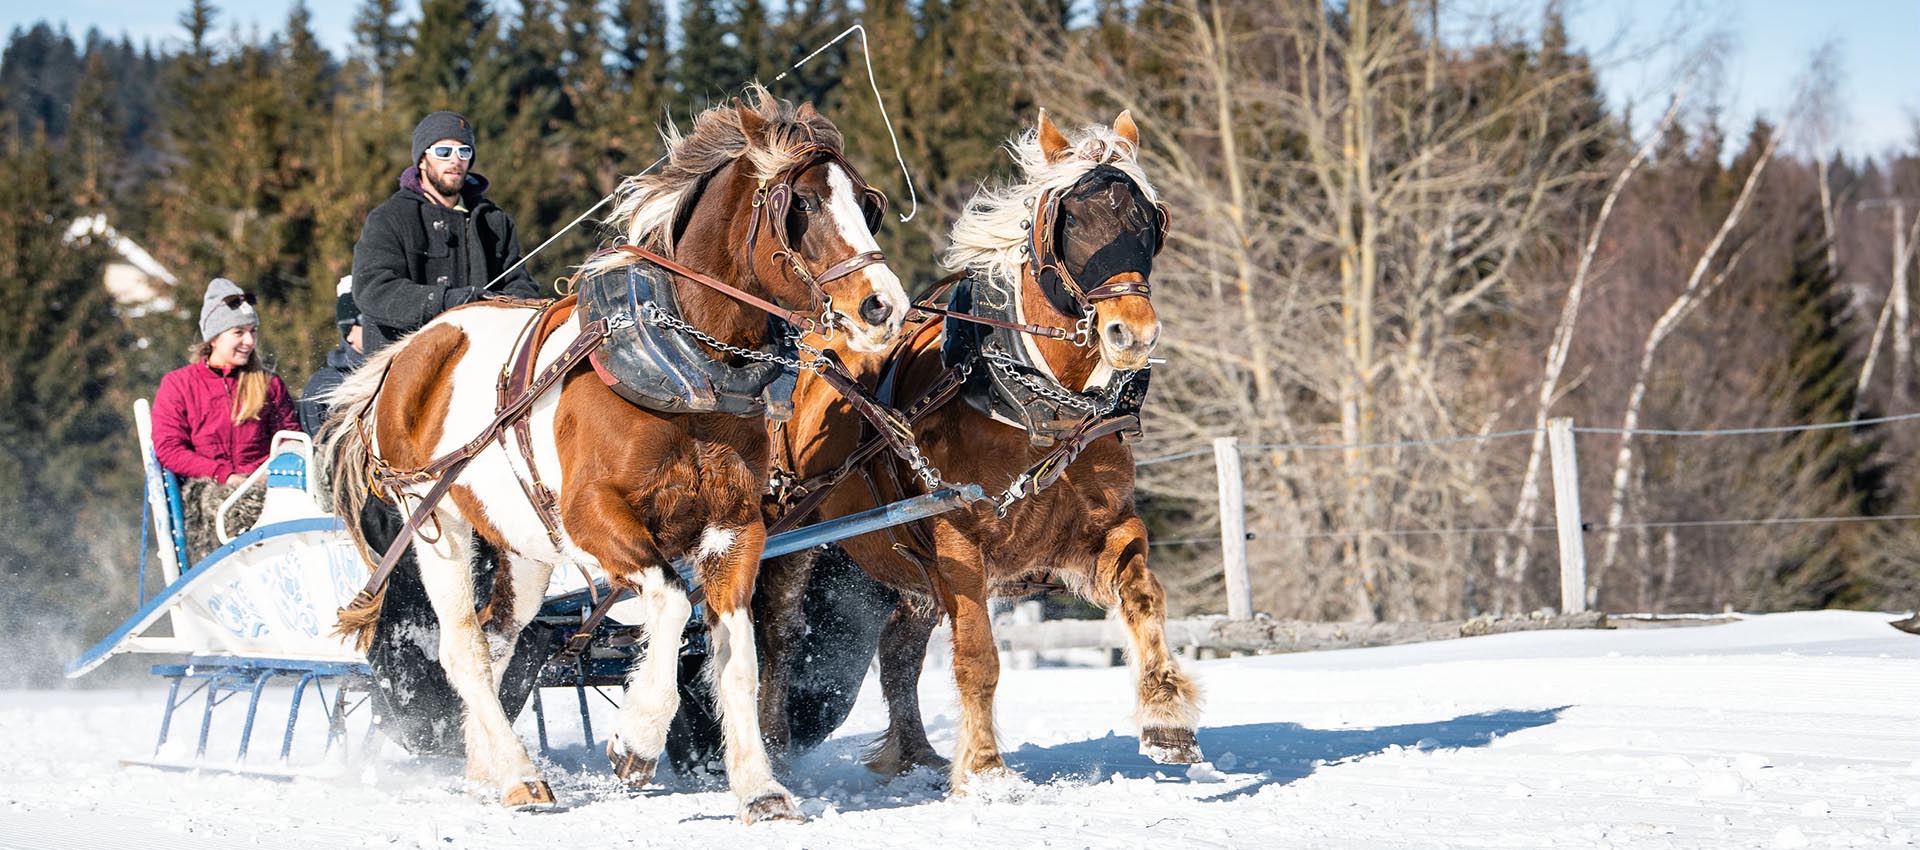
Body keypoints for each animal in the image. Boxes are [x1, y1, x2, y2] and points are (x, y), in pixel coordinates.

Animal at [322, 88, 906, 825]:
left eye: (868, 202)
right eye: (800, 205)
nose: (884, 305)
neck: (684, 372)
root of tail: (408, 352)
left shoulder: (737, 529)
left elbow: (738, 659)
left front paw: (760, 787)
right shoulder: (591, 519)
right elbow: (671, 604)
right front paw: (637, 737)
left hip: (520, 544)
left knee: (499, 636)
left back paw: (487, 767)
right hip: (437, 524)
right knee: (461, 647)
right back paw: (520, 775)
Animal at [760, 111, 1198, 790]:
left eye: (1149, 221)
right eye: (1068, 221)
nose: (1133, 333)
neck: (1034, 403)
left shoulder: (1105, 527)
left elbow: (1145, 596)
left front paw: (1166, 717)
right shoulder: (956, 544)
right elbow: (977, 657)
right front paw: (988, 771)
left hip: (903, 560)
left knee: (897, 650)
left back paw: (914, 754)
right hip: (789, 537)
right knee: (775, 640)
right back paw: (773, 747)